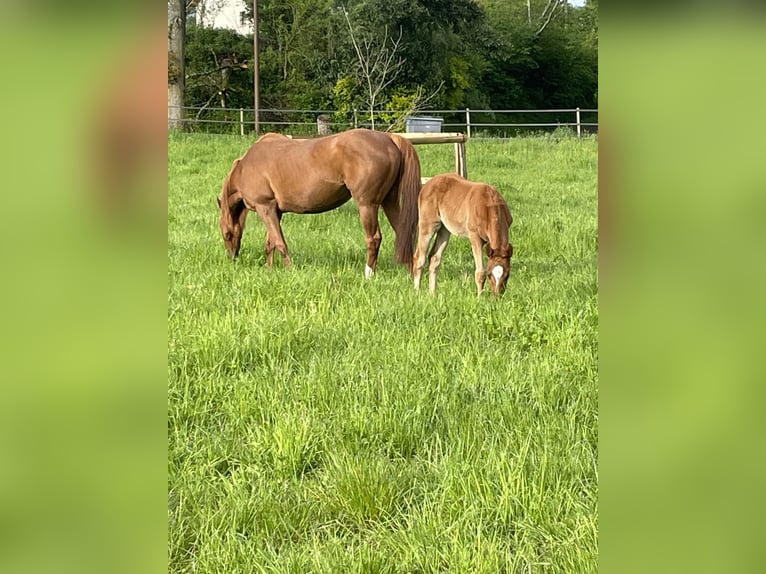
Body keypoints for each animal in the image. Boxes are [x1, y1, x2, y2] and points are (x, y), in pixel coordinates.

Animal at [219, 129, 424, 278]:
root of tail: (388, 138)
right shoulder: (275, 211)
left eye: (226, 234)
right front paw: (270, 271)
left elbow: (279, 242)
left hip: (368, 205)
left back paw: (368, 274)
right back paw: (411, 273)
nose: (232, 258)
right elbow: (271, 242)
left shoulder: (265, 207)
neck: (245, 167)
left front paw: (290, 270)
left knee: (374, 238)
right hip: (389, 202)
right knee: (404, 233)